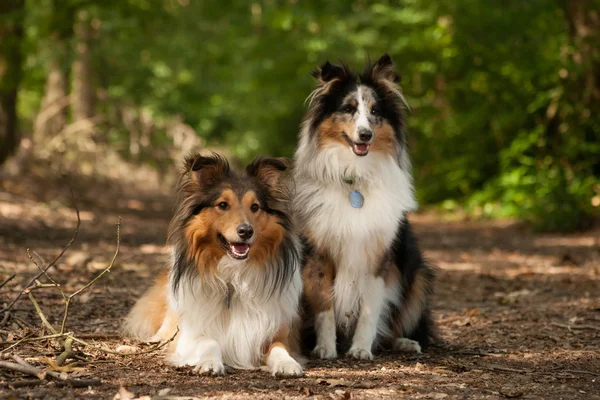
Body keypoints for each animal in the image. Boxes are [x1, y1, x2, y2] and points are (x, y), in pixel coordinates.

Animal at [296, 52, 436, 360]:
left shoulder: (379, 257)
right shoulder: (319, 255)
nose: (365, 135)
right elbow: (324, 307)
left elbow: (370, 310)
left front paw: (361, 348)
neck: (356, 179)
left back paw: (404, 342)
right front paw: (325, 347)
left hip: (419, 278)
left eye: (375, 112)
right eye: (348, 109)